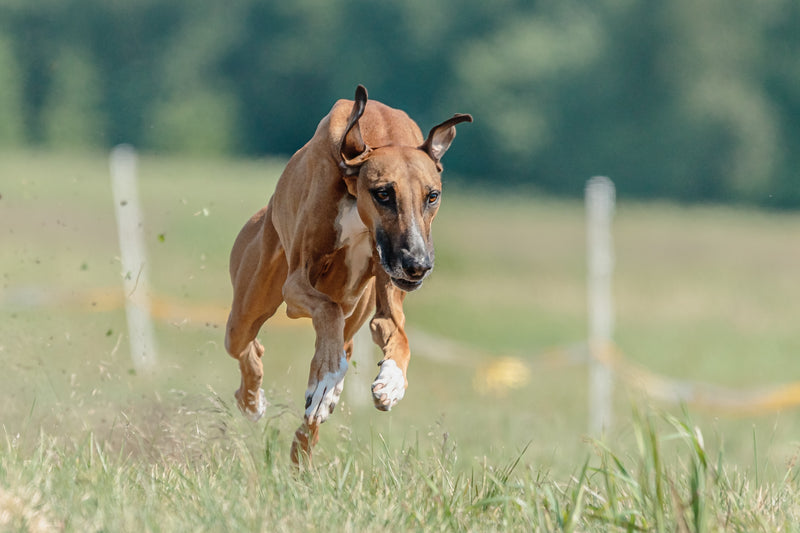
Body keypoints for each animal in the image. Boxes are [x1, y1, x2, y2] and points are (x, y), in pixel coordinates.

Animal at [222, 86, 472, 462]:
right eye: (383, 193)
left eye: (432, 196)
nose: (417, 264)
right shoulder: (296, 283)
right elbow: (327, 309)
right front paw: (327, 380)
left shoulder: (385, 296)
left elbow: (398, 333)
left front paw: (392, 381)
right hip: (248, 308)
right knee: (250, 346)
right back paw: (254, 400)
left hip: (354, 316)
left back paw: (303, 444)